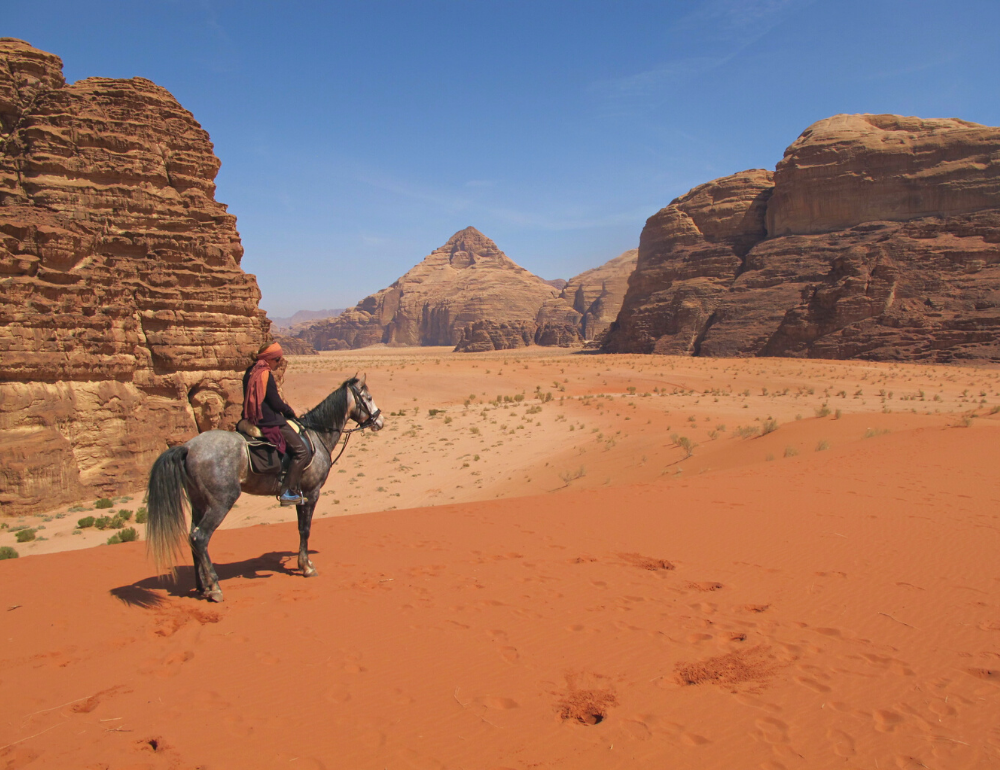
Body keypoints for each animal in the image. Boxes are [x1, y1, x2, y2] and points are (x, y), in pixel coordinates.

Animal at [145, 372, 382, 600]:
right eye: (369, 398)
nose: (380, 421)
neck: (318, 434)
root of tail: (187, 448)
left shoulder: (300, 494)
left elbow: (300, 528)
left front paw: (302, 563)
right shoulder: (312, 492)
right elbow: (305, 530)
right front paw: (307, 567)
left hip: (198, 502)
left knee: (192, 537)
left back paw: (202, 588)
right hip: (220, 502)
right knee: (200, 537)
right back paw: (215, 588)